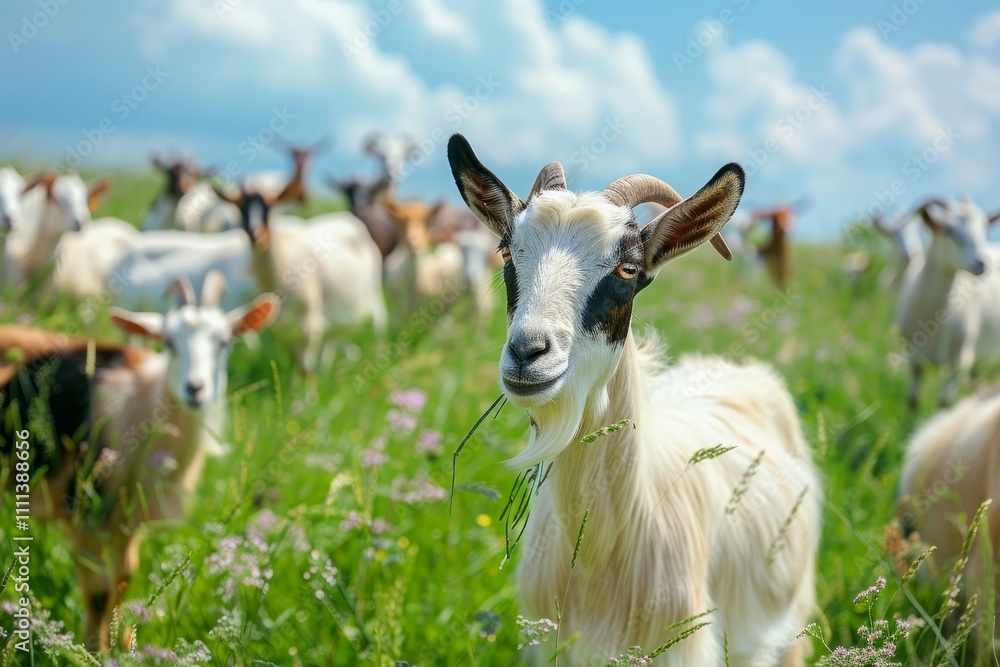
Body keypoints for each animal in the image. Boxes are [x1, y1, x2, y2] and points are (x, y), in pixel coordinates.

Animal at [0, 273, 279, 652]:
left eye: (223, 341)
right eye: (169, 341)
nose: (195, 389)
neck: (142, 401)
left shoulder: (128, 517)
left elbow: (122, 580)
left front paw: (121, 645)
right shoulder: (84, 509)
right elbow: (99, 591)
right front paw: (94, 651)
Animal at [895, 197, 1000, 410]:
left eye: (984, 229)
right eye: (948, 230)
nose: (982, 264)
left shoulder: (959, 362)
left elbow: (944, 403)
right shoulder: (914, 357)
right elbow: (912, 400)